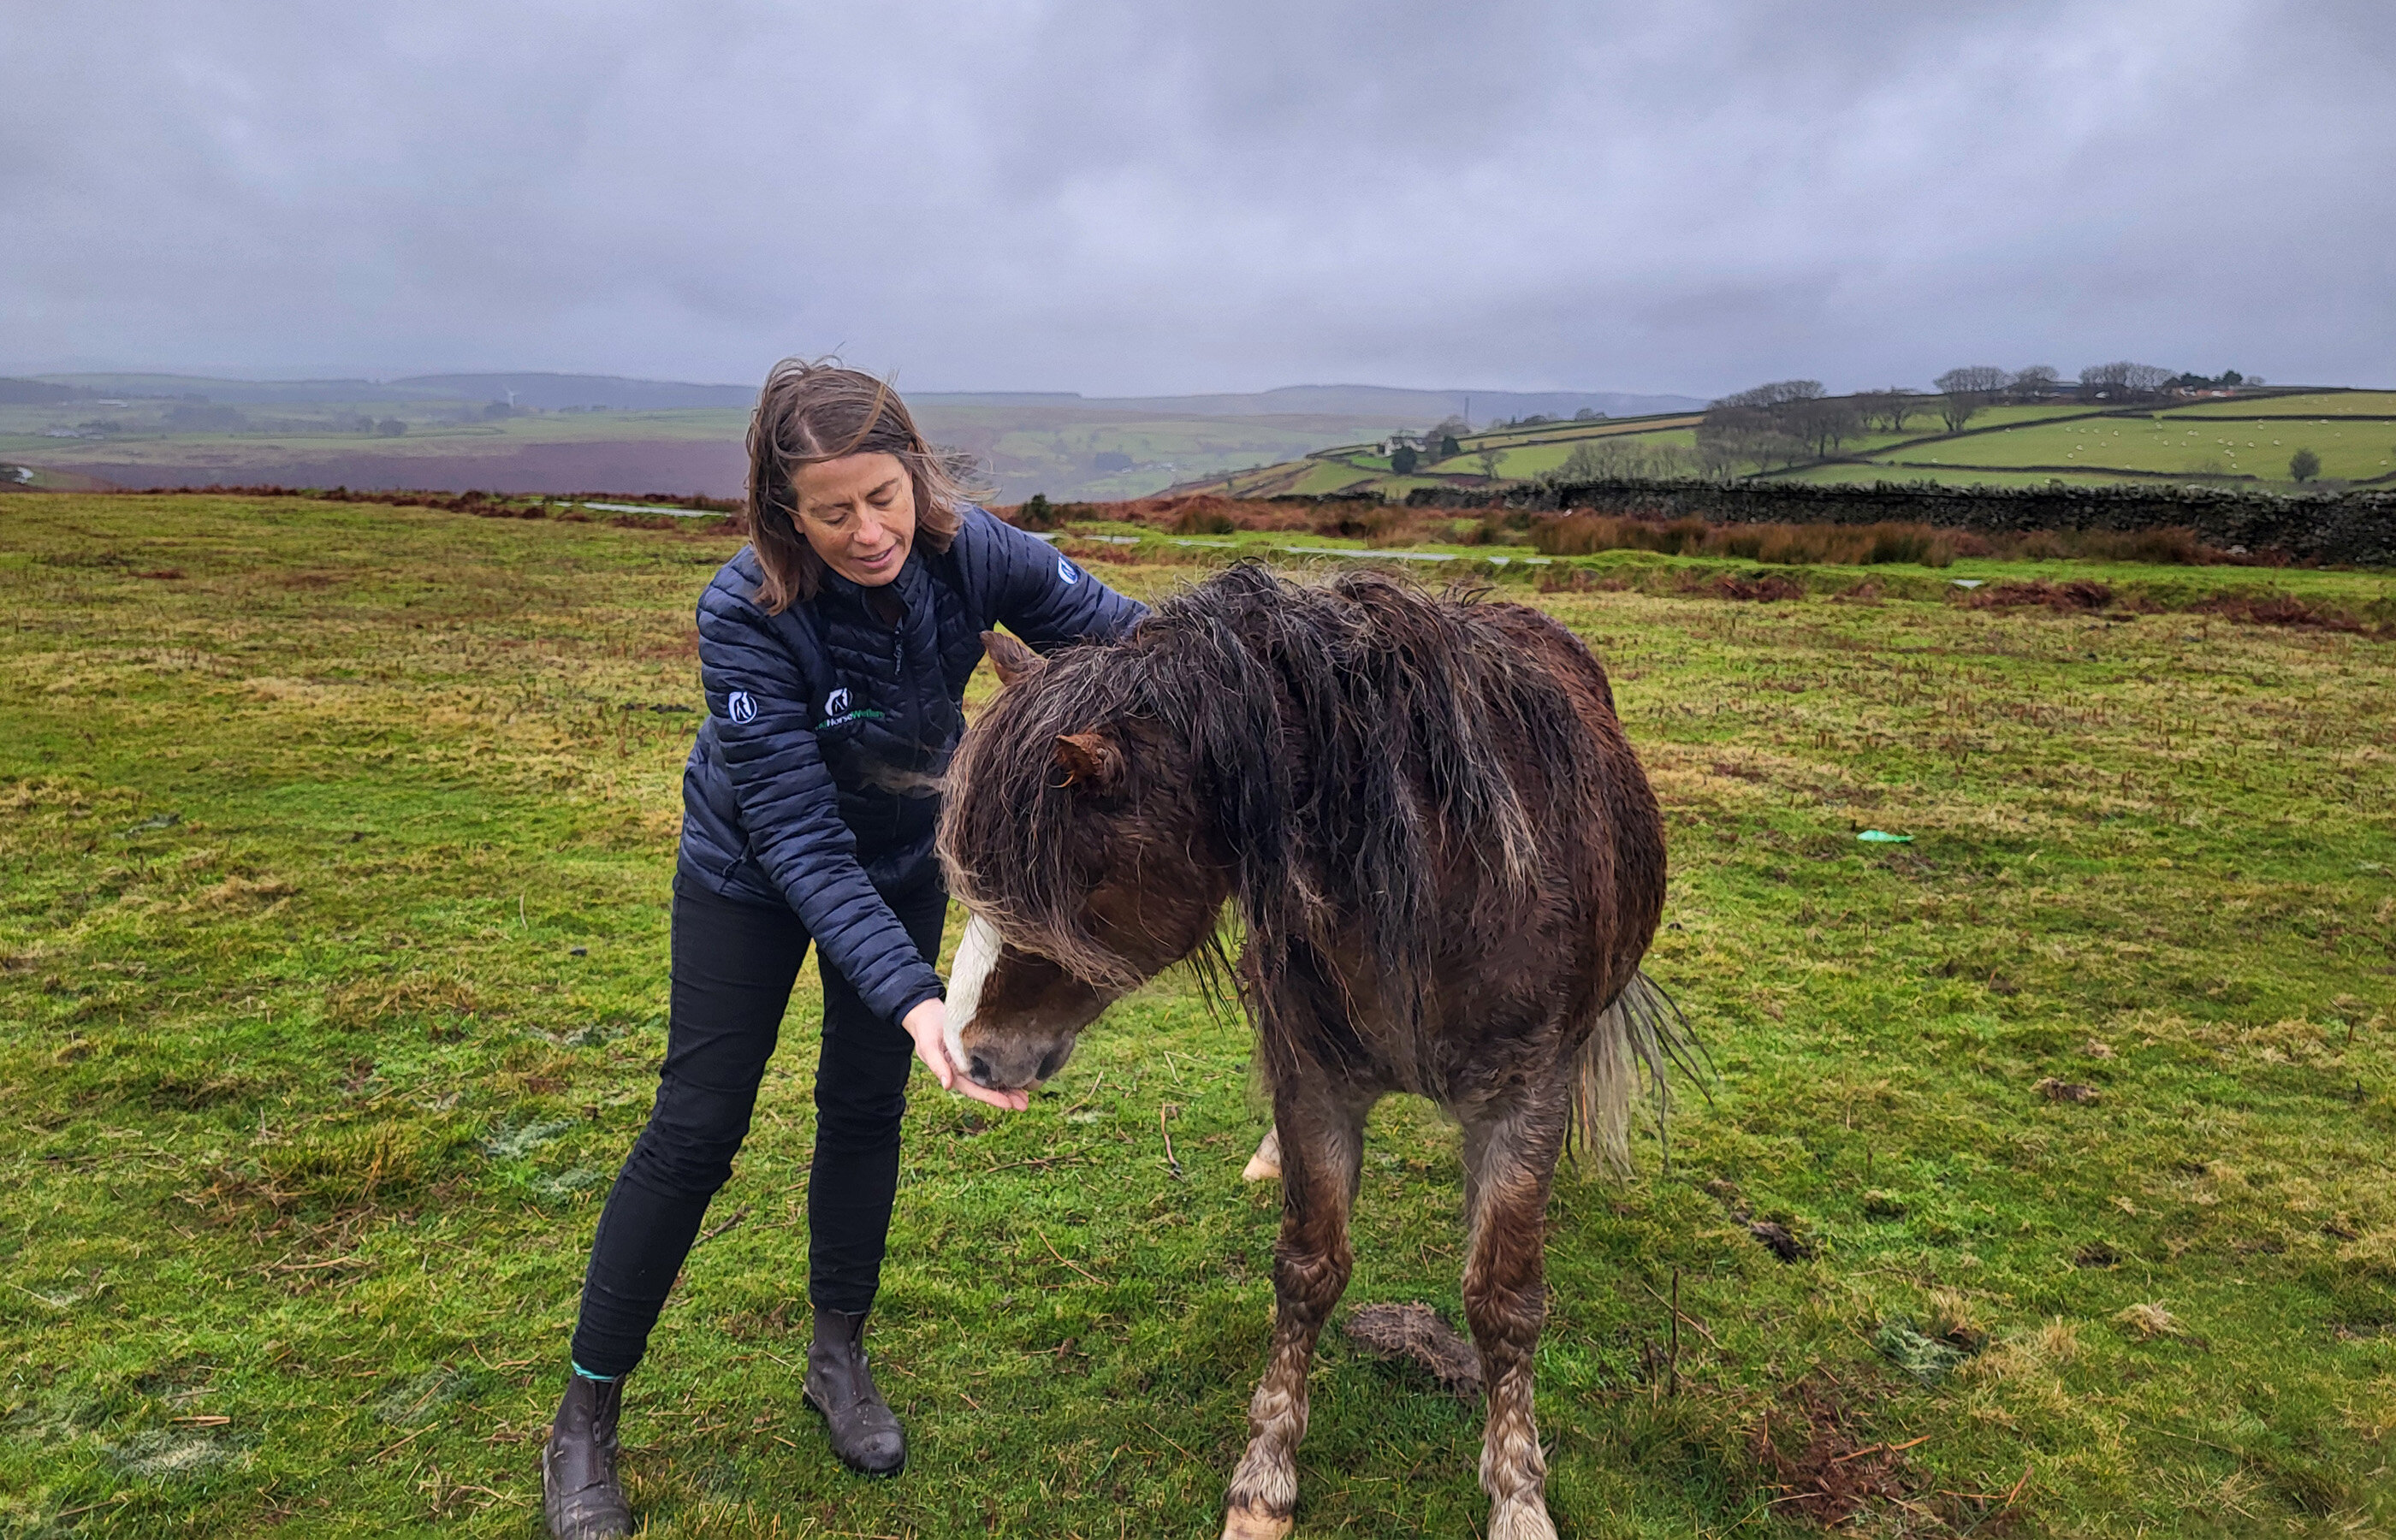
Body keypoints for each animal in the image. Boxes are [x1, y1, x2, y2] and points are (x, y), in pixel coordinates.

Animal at [935, 564, 1677, 1540]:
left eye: (1065, 886)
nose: (971, 1055)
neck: (1436, 880)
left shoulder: (1527, 1098)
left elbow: (1503, 1300)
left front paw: (1519, 1496)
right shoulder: (1313, 1083)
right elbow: (1307, 1269)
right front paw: (1265, 1477)